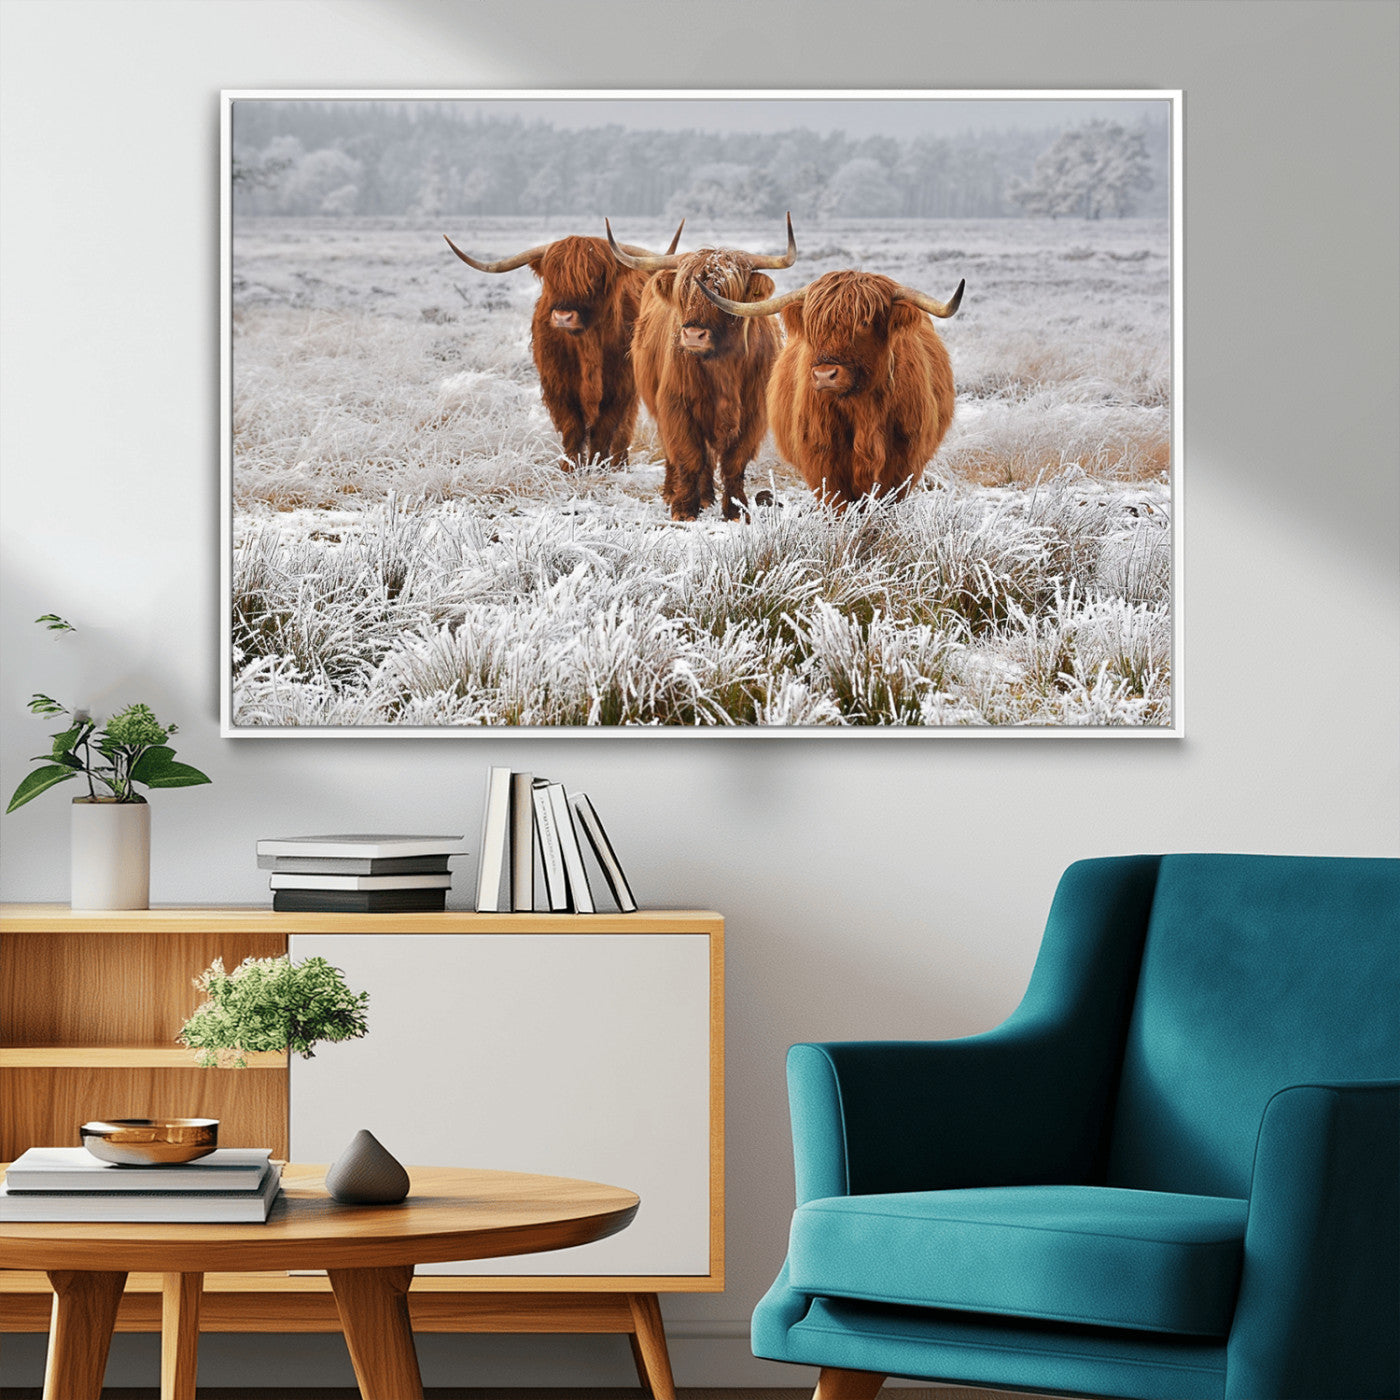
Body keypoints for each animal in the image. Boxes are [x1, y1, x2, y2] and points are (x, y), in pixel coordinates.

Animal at [443, 221, 684, 470]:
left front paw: (598, 466)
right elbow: (572, 428)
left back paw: (619, 463)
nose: (563, 316)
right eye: (552, 279)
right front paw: (570, 468)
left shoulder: (620, 386)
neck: (587, 346)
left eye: (595, 277)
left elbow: (604, 429)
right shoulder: (558, 386)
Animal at [606, 215, 797, 522]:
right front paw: (684, 509)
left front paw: (736, 509)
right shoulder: (676, 405)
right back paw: (676, 493)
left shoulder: (753, 413)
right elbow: (689, 456)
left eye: (724, 292)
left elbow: (734, 462)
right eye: (684, 292)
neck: (723, 367)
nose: (693, 334)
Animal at [700, 269, 964, 508]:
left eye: (864, 322)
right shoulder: (823, 461)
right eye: (813, 325)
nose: (824, 375)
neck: (863, 410)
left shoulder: (903, 463)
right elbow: (838, 505)